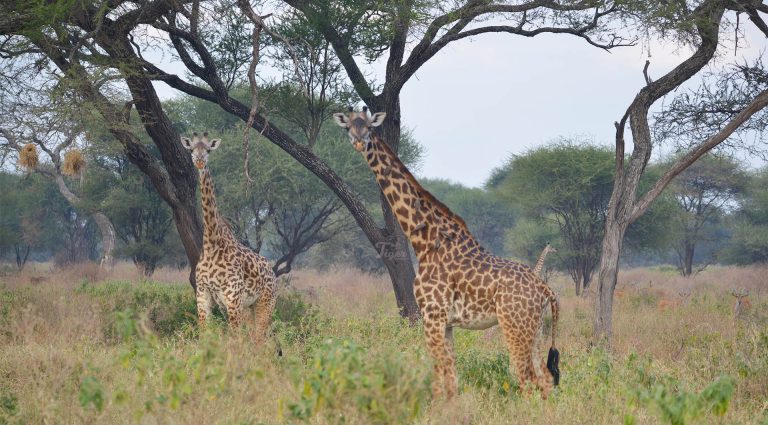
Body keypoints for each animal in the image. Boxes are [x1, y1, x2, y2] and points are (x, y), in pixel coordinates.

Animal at [181, 132, 277, 345]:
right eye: (191, 149)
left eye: (208, 149)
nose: (199, 161)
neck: (211, 242)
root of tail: (273, 274)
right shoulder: (203, 295)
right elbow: (205, 335)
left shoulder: (232, 297)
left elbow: (235, 339)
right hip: (247, 307)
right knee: (255, 338)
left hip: (265, 302)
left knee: (260, 339)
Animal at [333, 108, 560, 399]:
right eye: (349, 126)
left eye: (369, 127)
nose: (360, 142)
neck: (424, 241)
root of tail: (544, 289)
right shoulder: (448, 323)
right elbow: (452, 378)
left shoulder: (432, 315)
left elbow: (438, 376)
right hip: (537, 329)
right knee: (545, 380)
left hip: (515, 326)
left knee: (526, 378)